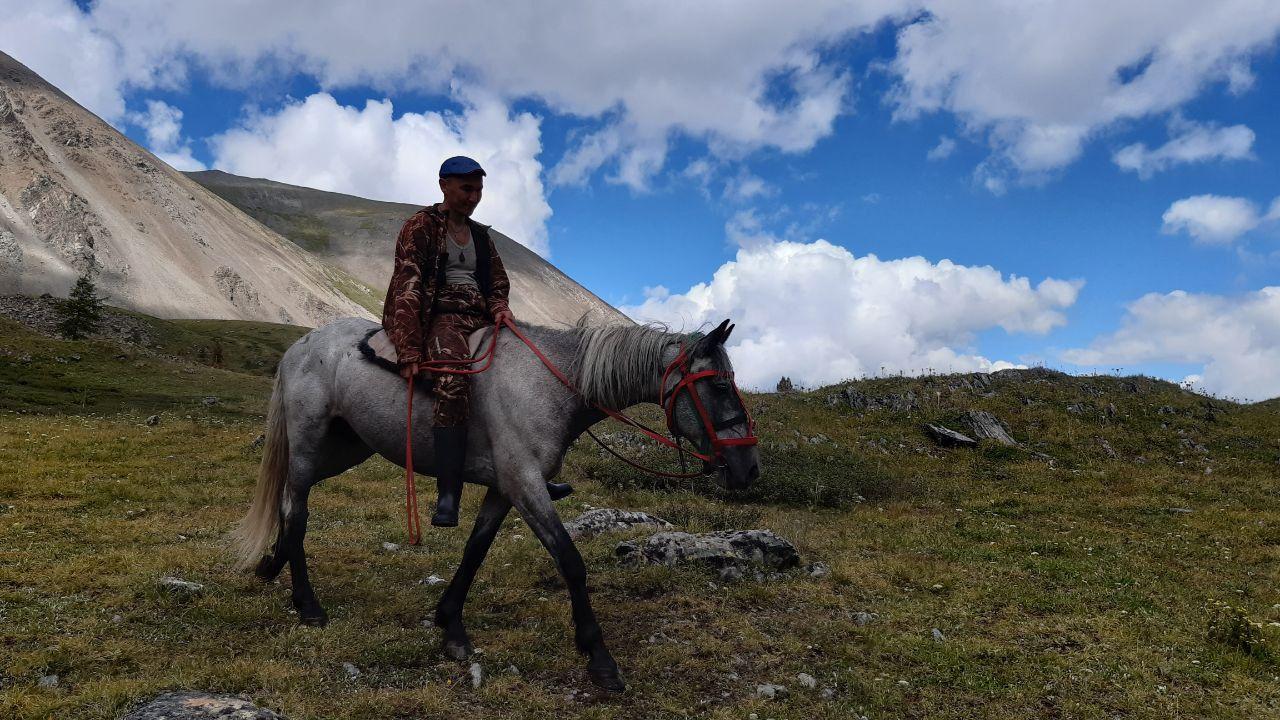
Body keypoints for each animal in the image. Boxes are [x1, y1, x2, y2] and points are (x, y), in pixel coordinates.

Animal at [231, 313, 757, 691]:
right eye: (719, 384)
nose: (748, 469)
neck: (550, 385)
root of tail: (300, 346)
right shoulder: (525, 485)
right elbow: (571, 562)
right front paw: (599, 658)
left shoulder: (504, 490)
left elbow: (475, 550)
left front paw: (450, 625)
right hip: (308, 444)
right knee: (296, 509)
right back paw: (307, 604)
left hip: (347, 447)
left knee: (287, 504)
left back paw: (271, 565)